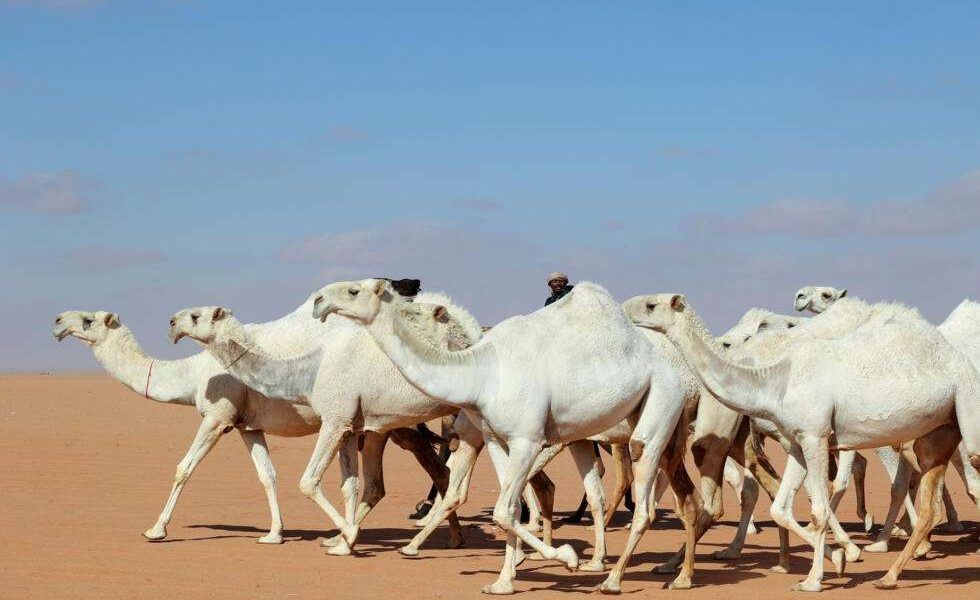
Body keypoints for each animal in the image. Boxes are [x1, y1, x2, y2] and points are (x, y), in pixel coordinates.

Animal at [52, 310, 446, 545]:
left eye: (87, 321)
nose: (57, 321)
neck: (192, 373)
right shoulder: (247, 426)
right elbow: (266, 475)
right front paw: (274, 533)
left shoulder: (217, 416)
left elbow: (184, 468)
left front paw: (156, 529)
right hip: (377, 427)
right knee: (389, 480)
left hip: (396, 419)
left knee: (435, 468)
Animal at [313, 278, 704, 595]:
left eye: (353, 291)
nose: (318, 300)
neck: (482, 372)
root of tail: (682, 377)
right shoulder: (496, 439)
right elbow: (509, 510)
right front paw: (504, 581)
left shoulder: (527, 439)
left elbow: (501, 508)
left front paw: (566, 557)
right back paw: (642, 568)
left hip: (658, 410)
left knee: (646, 498)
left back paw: (614, 579)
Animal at [629, 292, 976, 591]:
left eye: (650, 305)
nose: (626, 311)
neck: (775, 380)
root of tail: (961, 360)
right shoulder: (796, 442)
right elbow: (781, 508)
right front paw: (838, 559)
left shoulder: (816, 436)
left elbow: (818, 508)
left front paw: (815, 579)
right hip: (938, 431)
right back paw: (890, 575)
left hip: (964, 415)